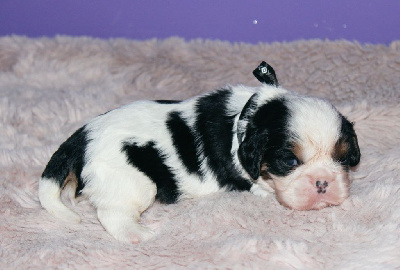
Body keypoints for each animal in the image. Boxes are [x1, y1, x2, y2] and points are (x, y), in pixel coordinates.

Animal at [39, 61, 360, 243]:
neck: (250, 117)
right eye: (290, 160)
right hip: (131, 182)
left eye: (343, 158)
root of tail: (82, 136)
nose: (322, 183)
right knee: (112, 213)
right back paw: (136, 234)